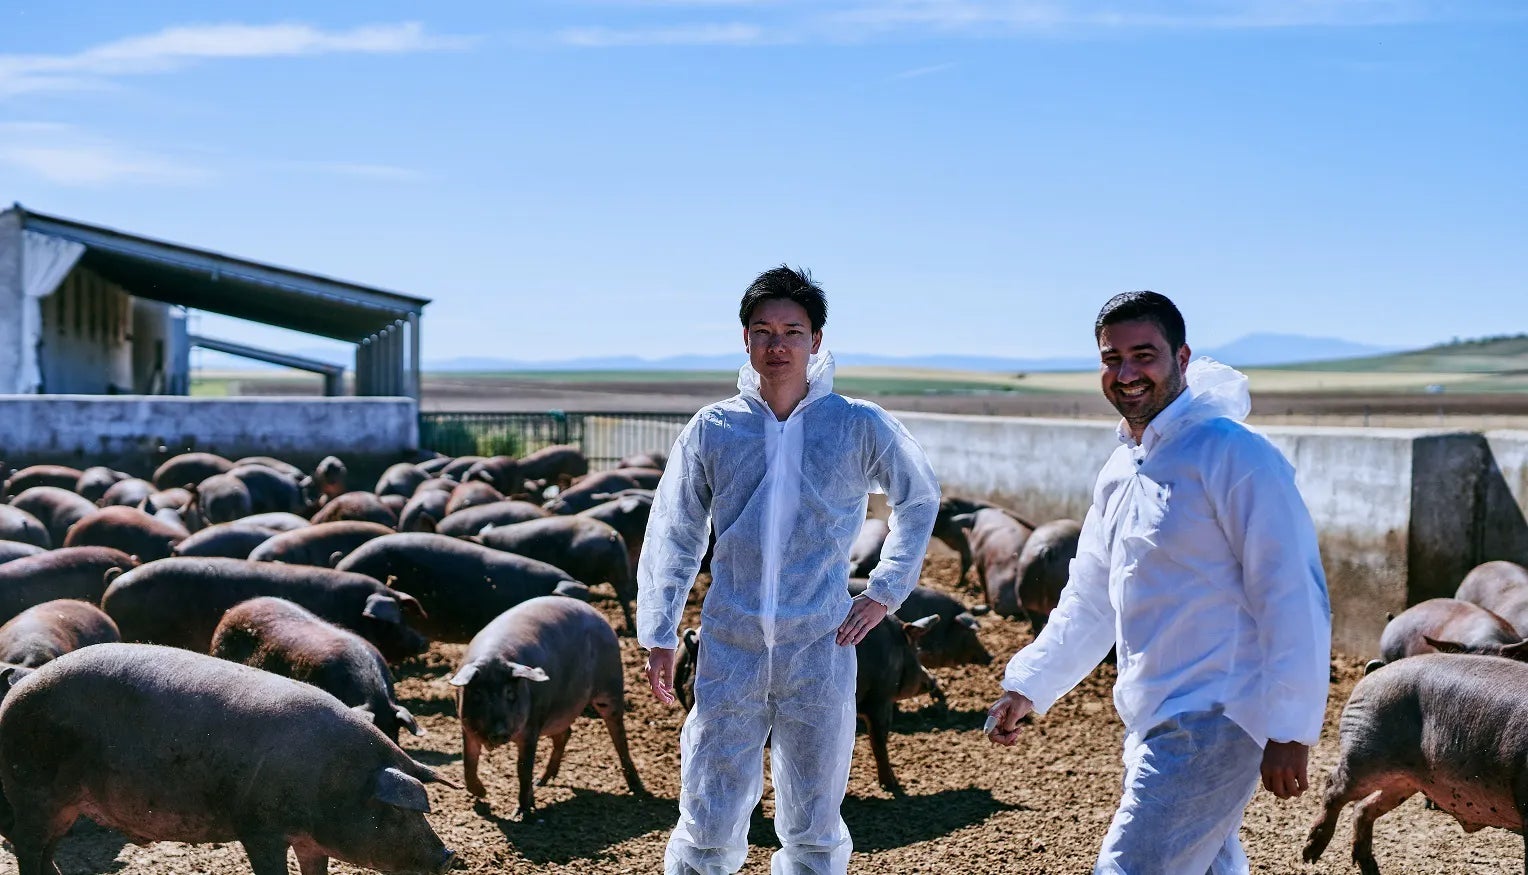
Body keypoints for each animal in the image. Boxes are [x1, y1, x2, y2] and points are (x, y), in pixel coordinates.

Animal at [0, 643, 457, 875]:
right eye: (394, 813)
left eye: (423, 813)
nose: (448, 856)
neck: (335, 782)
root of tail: (18, 688)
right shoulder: (258, 828)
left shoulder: (310, 840)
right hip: (34, 792)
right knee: (27, 848)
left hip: (63, 807)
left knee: (45, 852)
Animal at [450, 596, 644, 812]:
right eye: (477, 694)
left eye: (510, 693)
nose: (499, 732)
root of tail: (600, 616)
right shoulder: (467, 729)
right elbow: (468, 764)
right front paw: (482, 795)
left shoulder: (531, 728)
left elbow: (523, 770)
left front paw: (522, 812)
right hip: (560, 714)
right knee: (565, 734)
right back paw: (542, 782)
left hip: (611, 686)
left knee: (619, 736)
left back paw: (637, 789)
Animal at [676, 615, 941, 795]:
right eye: (917, 650)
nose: (932, 680)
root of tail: (694, 645)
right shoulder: (880, 701)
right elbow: (879, 744)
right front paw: (894, 786)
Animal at [1303, 654, 1528, 874]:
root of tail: (1375, 671)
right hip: (1364, 751)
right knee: (1333, 786)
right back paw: (1310, 855)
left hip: (1404, 781)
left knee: (1363, 807)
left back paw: (1370, 868)